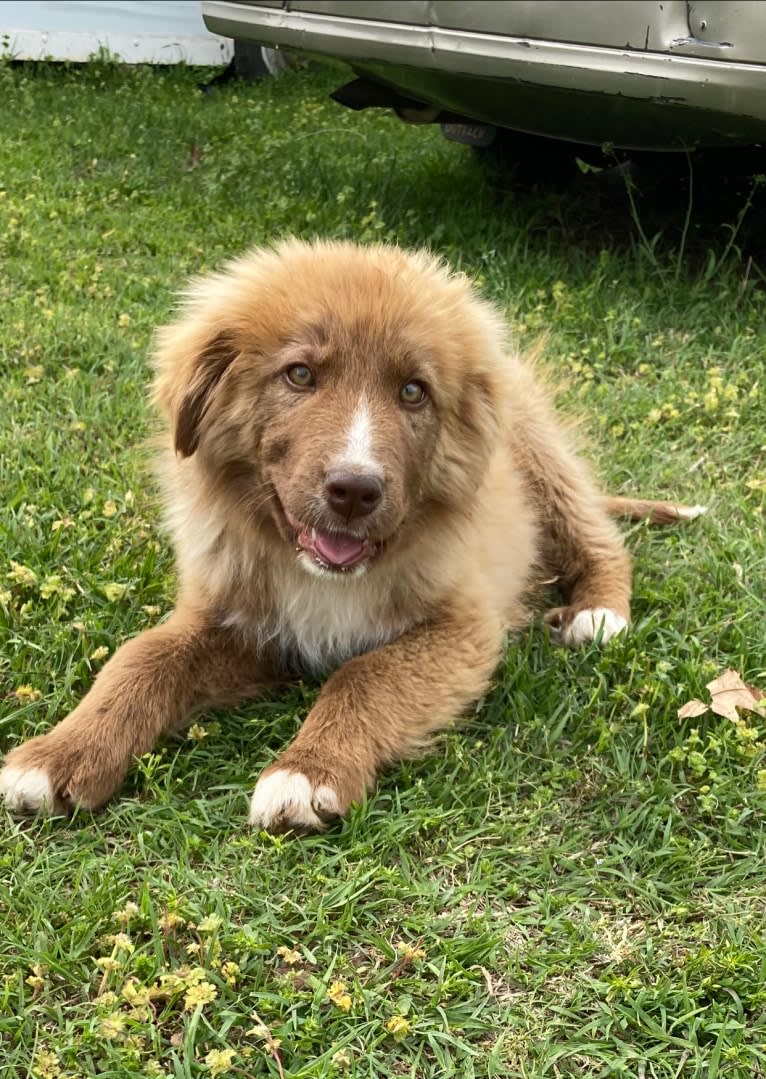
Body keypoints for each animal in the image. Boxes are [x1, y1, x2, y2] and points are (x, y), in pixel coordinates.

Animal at [0, 240, 703, 828]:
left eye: (413, 391)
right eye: (300, 374)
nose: (355, 490)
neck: (324, 575)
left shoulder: (462, 627)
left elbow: (365, 674)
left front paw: (308, 772)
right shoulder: (240, 620)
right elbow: (140, 659)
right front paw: (59, 754)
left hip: (539, 455)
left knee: (600, 539)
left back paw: (598, 613)